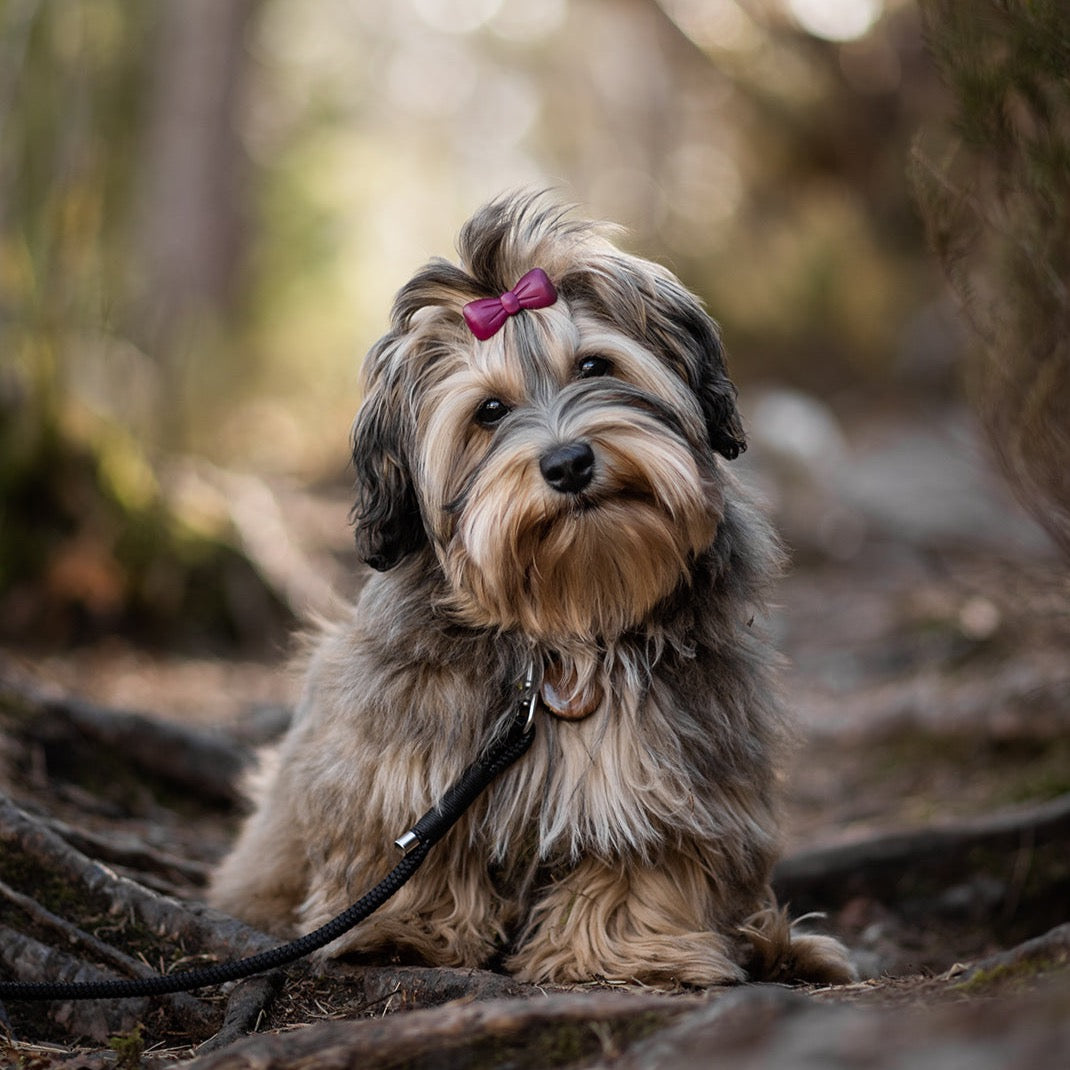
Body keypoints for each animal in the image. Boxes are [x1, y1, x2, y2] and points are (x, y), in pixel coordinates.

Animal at [208, 192, 851, 984]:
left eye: (594, 365)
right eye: (489, 412)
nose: (569, 462)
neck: (570, 627)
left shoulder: (674, 770)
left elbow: (644, 859)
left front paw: (623, 953)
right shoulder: (408, 750)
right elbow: (411, 837)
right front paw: (404, 930)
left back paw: (780, 945)